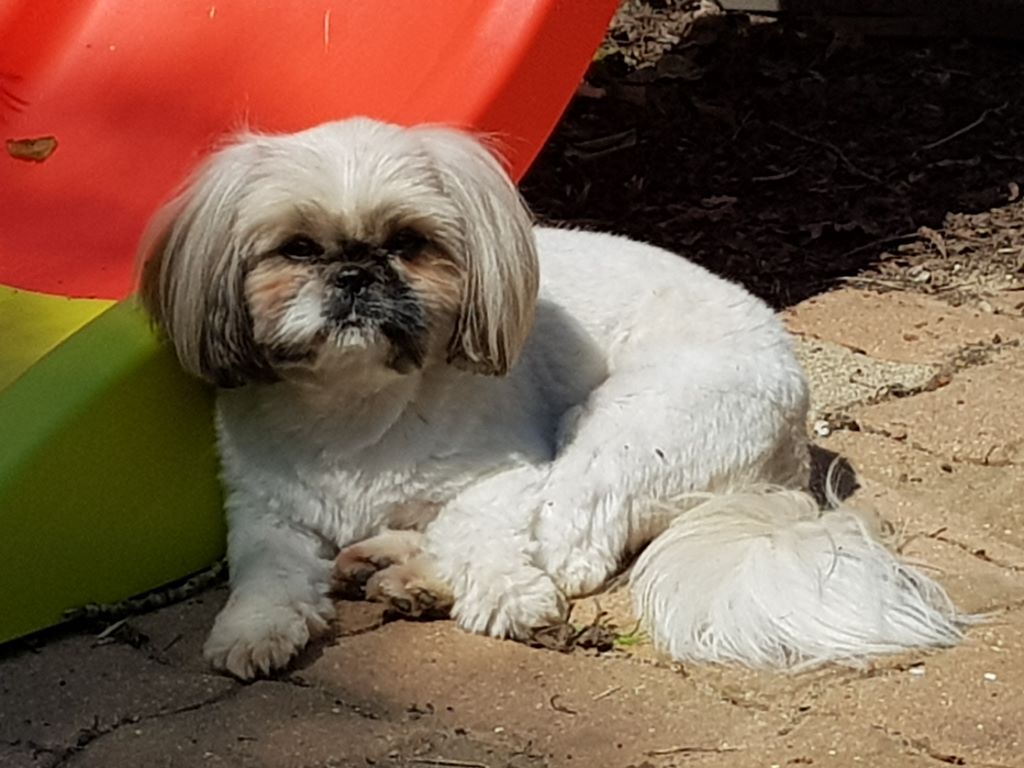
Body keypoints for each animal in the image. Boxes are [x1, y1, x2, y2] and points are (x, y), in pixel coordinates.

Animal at [139, 117, 963, 679]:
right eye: (298, 249)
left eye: (408, 243)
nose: (355, 273)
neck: (358, 405)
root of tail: (790, 453)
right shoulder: (263, 505)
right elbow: (267, 565)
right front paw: (253, 629)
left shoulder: (505, 480)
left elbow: (486, 537)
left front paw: (505, 597)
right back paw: (383, 561)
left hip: (613, 437)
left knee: (573, 553)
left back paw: (410, 575)